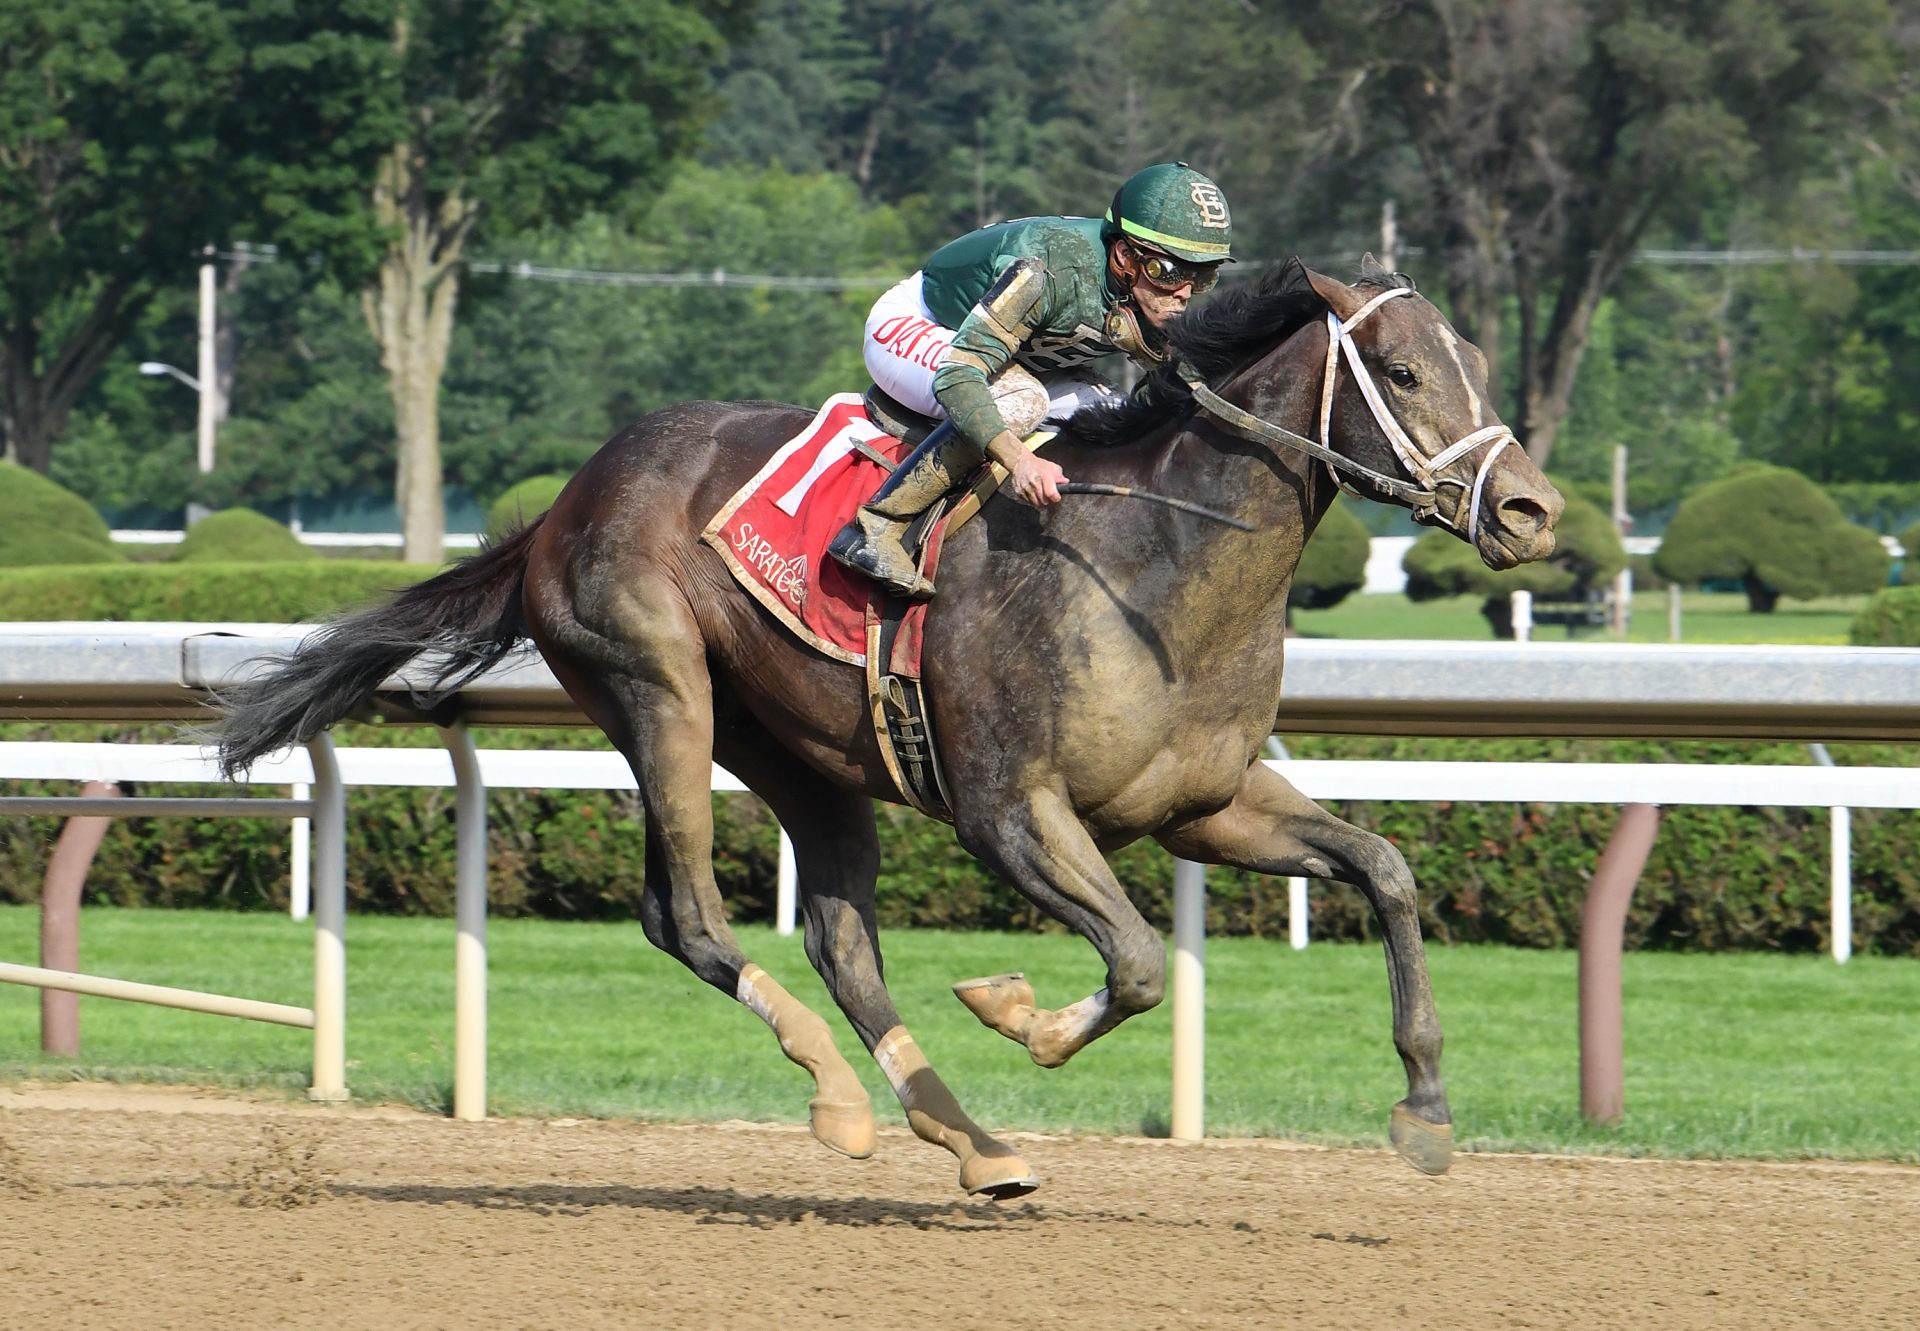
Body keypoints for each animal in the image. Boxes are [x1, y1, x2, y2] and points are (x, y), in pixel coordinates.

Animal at [217, 253, 1559, 1198]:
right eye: (1401, 374)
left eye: (1478, 360)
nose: (1531, 510)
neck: (1155, 557)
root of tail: (558, 507)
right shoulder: (1006, 810)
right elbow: (1132, 960)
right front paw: (1018, 1010)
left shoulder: (1206, 806)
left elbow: (1384, 868)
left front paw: (1426, 1109)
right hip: (660, 688)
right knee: (687, 913)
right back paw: (839, 1093)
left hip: (802, 754)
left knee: (840, 942)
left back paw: (969, 1140)